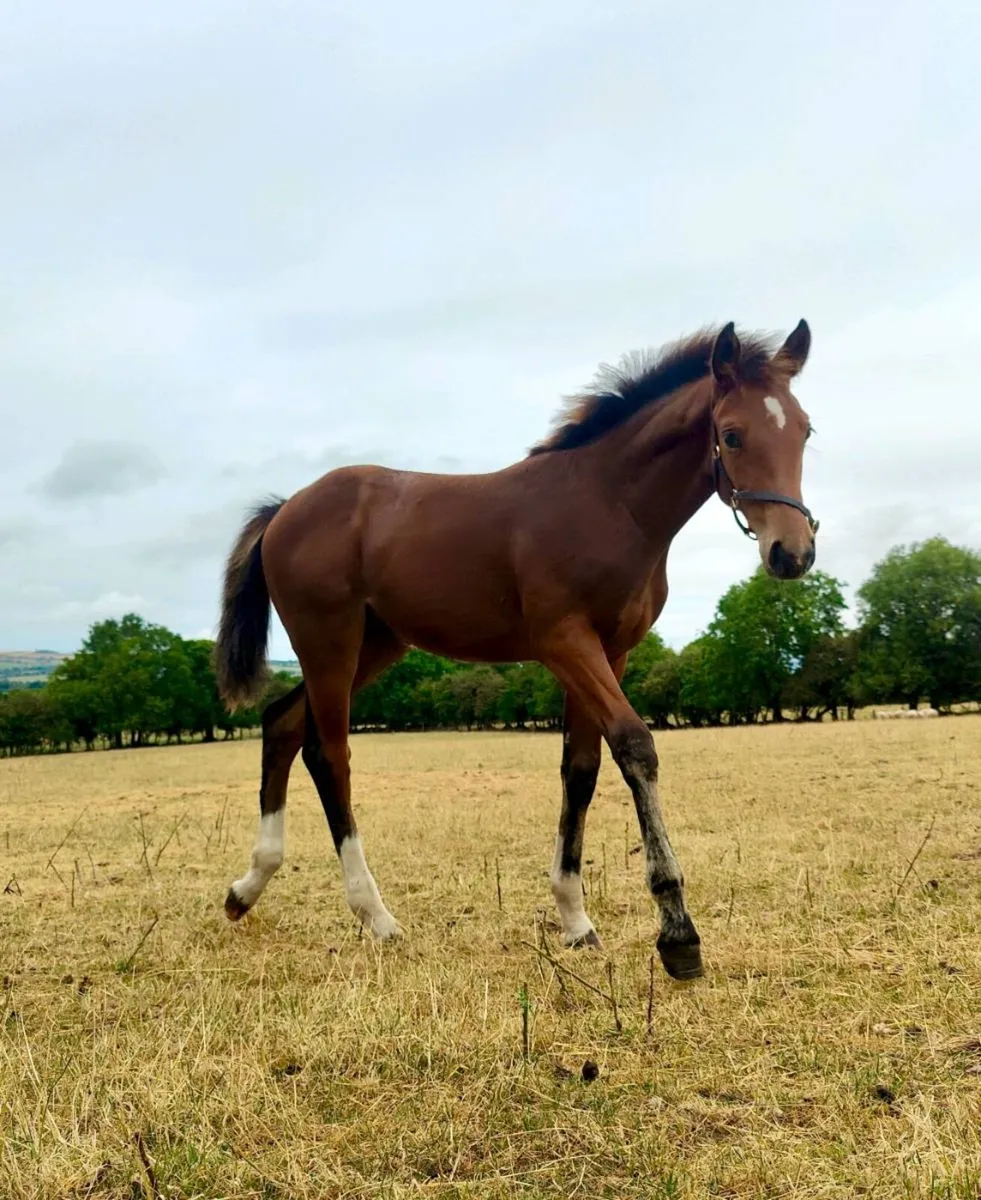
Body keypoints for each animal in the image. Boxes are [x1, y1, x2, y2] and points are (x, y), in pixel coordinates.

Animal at [214, 320, 818, 980]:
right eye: (731, 435)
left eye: (805, 430)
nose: (793, 552)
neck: (608, 503)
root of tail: (285, 509)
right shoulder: (564, 642)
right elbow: (636, 746)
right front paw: (678, 933)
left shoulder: (611, 651)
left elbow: (581, 768)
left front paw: (576, 920)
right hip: (330, 642)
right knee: (329, 754)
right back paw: (375, 916)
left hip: (376, 644)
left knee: (282, 723)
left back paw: (247, 888)